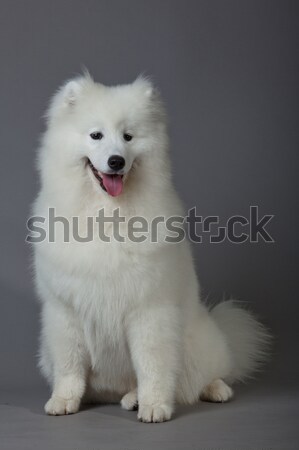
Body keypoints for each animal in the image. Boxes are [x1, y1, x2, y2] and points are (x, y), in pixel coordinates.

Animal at [34, 74, 270, 422]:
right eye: (96, 135)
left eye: (128, 137)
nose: (116, 160)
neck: (107, 215)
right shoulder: (65, 311)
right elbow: (69, 365)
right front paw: (64, 400)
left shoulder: (150, 309)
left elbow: (153, 366)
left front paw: (155, 406)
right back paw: (122, 397)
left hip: (198, 341)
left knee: (206, 374)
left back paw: (213, 390)